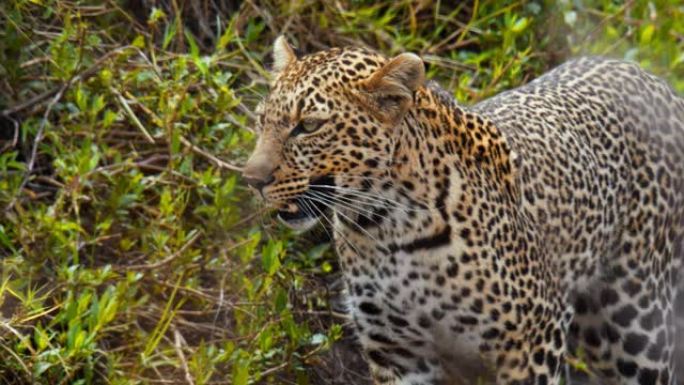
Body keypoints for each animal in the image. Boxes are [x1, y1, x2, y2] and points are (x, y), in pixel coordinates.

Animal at [242, 34, 684, 382]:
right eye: (262, 121)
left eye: (308, 126)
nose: (251, 179)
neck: (385, 228)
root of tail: (652, 78)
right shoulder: (398, 353)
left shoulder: (533, 341)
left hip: (638, 327)